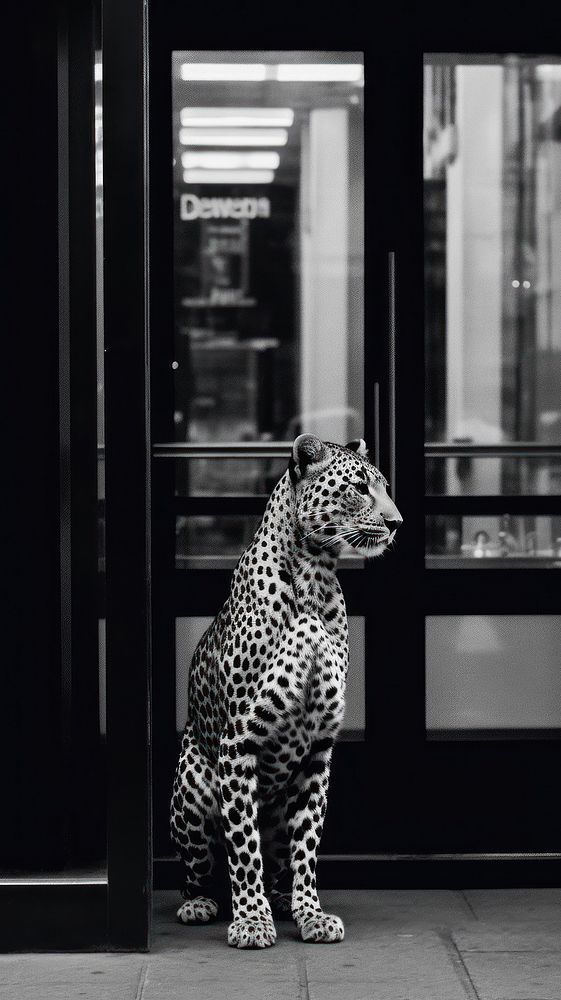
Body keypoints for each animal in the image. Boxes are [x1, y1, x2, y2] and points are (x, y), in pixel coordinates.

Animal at [171, 434, 402, 948]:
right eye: (360, 487)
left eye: (384, 487)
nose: (397, 522)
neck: (316, 576)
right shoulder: (239, 742)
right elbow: (243, 847)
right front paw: (252, 922)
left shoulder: (319, 748)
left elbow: (306, 847)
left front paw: (311, 914)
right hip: (192, 786)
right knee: (199, 870)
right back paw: (203, 903)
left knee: (279, 861)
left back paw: (282, 901)